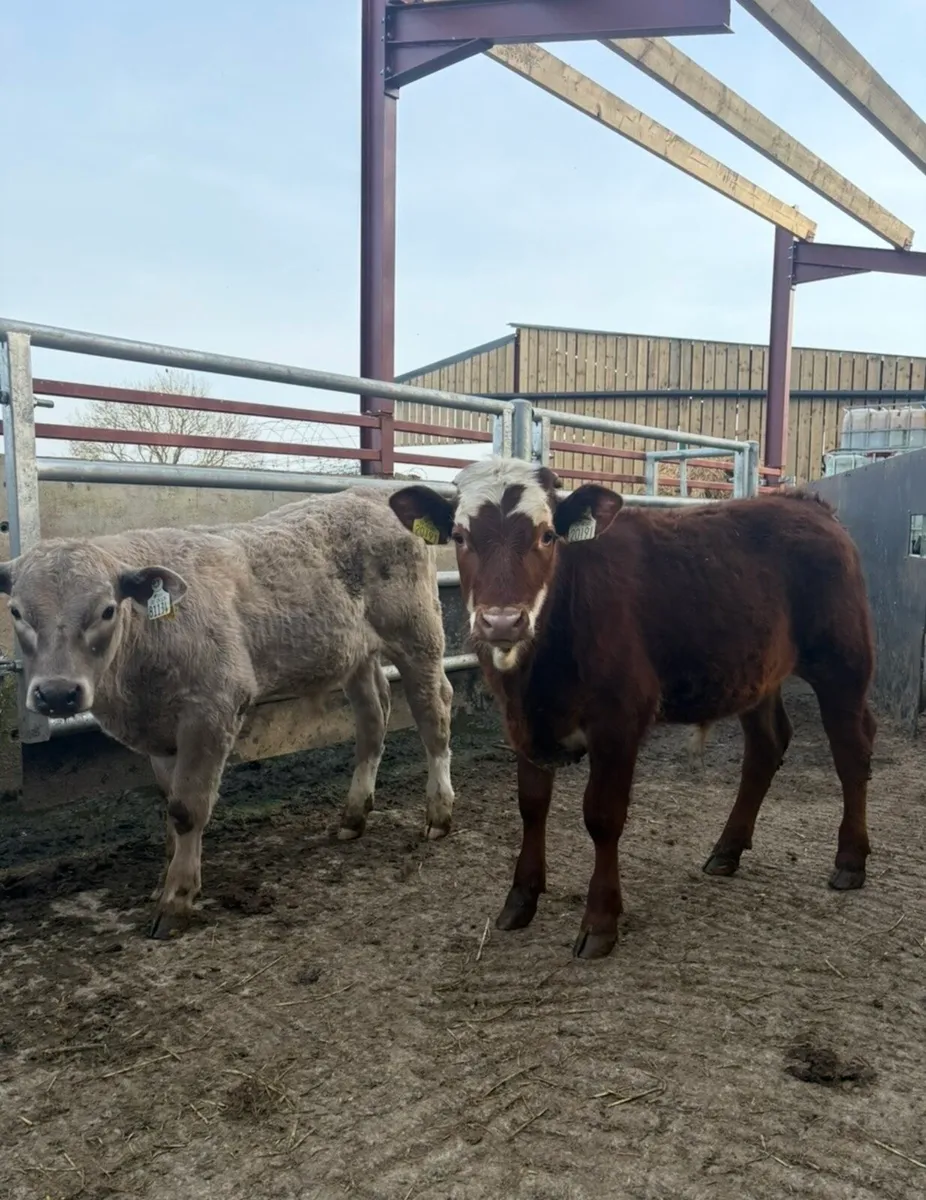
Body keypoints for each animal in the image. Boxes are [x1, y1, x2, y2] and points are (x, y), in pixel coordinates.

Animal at [0, 490, 455, 938]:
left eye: (107, 610)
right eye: (16, 612)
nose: (57, 693)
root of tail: (371, 494)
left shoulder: (212, 708)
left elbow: (187, 809)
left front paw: (177, 899)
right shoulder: (160, 735)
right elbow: (169, 805)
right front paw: (165, 879)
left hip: (419, 635)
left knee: (434, 715)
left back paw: (439, 813)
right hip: (356, 655)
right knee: (373, 718)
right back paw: (354, 816)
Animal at [389, 457, 876, 960]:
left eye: (548, 535)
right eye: (460, 536)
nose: (502, 621)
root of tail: (809, 505)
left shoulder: (618, 721)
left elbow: (603, 817)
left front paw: (600, 920)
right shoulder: (522, 722)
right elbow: (531, 807)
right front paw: (521, 898)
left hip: (843, 662)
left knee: (852, 752)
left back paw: (850, 859)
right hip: (758, 673)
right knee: (766, 747)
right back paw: (727, 849)